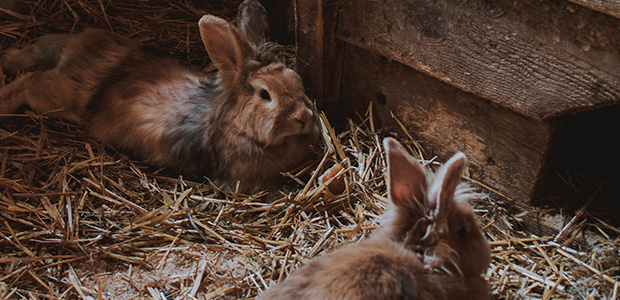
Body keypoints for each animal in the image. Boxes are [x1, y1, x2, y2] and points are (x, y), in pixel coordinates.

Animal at [0, 0, 320, 192]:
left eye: (296, 81)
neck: (237, 127)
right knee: (30, 81)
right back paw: (4, 101)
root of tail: (79, 48)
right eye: (265, 95)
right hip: (58, 98)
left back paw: (9, 59)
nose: (304, 118)